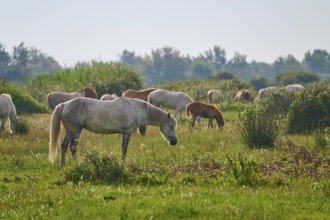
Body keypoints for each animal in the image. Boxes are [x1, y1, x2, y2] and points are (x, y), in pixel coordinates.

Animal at [48, 96, 178, 167]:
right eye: (171, 126)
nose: (175, 142)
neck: (135, 109)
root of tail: (64, 105)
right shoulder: (126, 133)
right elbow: (124, 150)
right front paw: (123, 164)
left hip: (70, 131)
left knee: (64, 146)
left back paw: (62, 166)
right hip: (75, 131)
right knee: (72, 147)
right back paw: (76, 164)